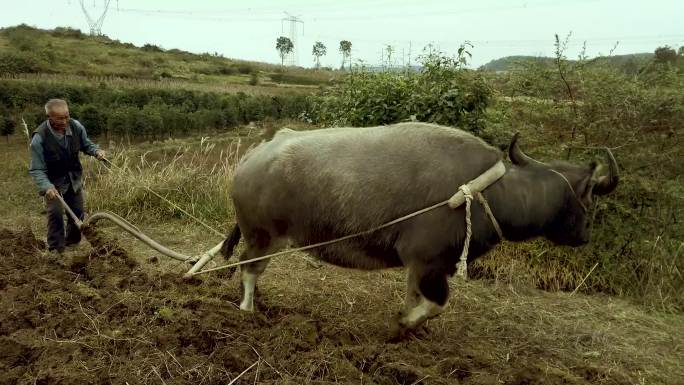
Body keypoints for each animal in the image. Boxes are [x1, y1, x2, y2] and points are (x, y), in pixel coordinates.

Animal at [220, 122, 620, 332]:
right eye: (591, 200)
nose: (584, 236)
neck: (487, 192)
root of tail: (253, 156)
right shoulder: (430, 263)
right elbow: (437, 303)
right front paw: (403, 325)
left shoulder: (419, 266)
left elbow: (414, 296)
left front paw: (405, 320)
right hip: (263, 236)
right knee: (248, 269)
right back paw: (247, 310)